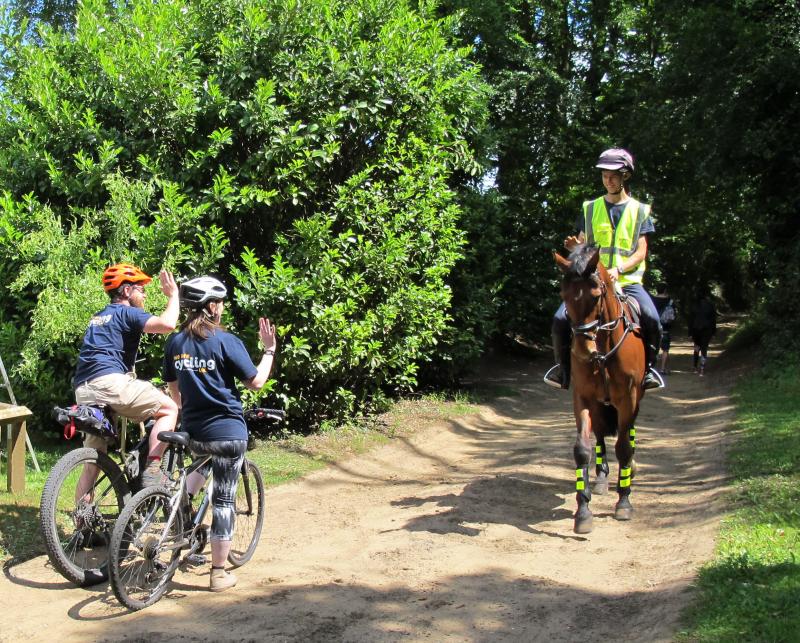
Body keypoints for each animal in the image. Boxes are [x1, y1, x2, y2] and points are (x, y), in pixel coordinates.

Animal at [556, 242, 648, 532]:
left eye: (596, 295)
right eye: (564, 295)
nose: (582, 350)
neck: (603, 351)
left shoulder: (628, 398)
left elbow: (624, 446)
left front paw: (624, 501)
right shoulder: (583, 397)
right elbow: (582, 450)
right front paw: (583, 511)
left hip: (635, 398)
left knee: (628, 434)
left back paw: (629, 470)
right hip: (600, 403)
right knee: (599, 434)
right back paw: (601, 478)